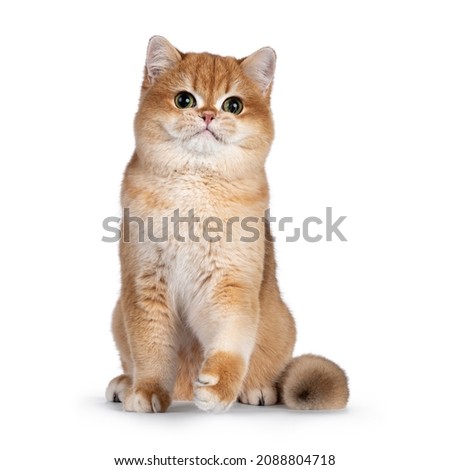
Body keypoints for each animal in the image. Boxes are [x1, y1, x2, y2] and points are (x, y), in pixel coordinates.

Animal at [104, 36, 348, 412]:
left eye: (233, 105)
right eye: (184, 100)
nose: (208, 115)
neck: (195, 188)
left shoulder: (230, 284)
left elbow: (230, 343)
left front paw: (219, 387)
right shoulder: (145, 285)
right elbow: (150, 348)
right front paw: (147, 390)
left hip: (280, 322)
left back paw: (256, 389)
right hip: (118, 316)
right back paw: (125, 383)